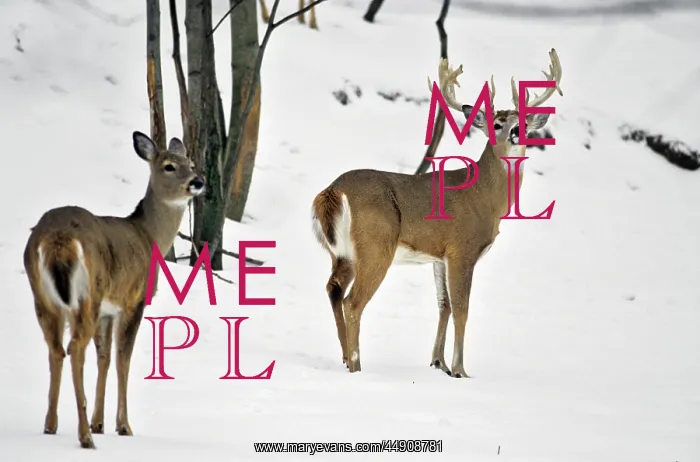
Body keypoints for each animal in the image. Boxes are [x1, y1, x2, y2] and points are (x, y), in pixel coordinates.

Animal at [22, 131, 205, 449]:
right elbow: (122, 358)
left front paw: (99, 422)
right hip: (87, 294)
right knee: (74, 348)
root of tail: (58, 238)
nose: (197, 181)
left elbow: (104, 357)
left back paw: (51, 426)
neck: (149, 237)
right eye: (168, 166)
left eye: (191, 163)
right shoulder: (133, 300)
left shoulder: (107, 310)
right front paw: (122, 426)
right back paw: (84, 436)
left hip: (44, 297)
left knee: (56, 349)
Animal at [311, 49, 562, 378]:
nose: (517, 132)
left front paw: (438, 362)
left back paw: (344, 358)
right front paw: (460, 370)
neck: (484, 197)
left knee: (333, 289)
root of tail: (332, 191)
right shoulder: (462, 249)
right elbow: (462, 308)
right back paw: (357, 367)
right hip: (376, 245)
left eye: (522, 121)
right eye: (496, 124)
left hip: (342, 253)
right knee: (353, 302)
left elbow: (444, 305)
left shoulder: (438, 255)